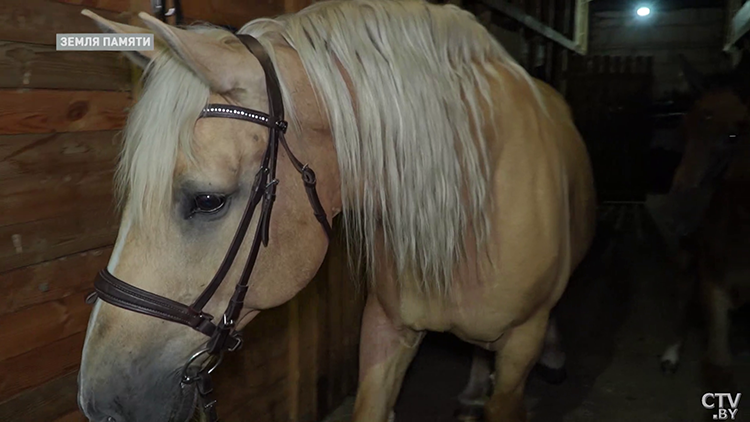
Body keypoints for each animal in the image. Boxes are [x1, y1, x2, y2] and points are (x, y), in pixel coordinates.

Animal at [660, 53, 748, 390]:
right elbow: (719, 369)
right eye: (684, 131)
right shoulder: (714, 285)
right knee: (682, 296)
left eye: (734, 135)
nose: (676, 217)